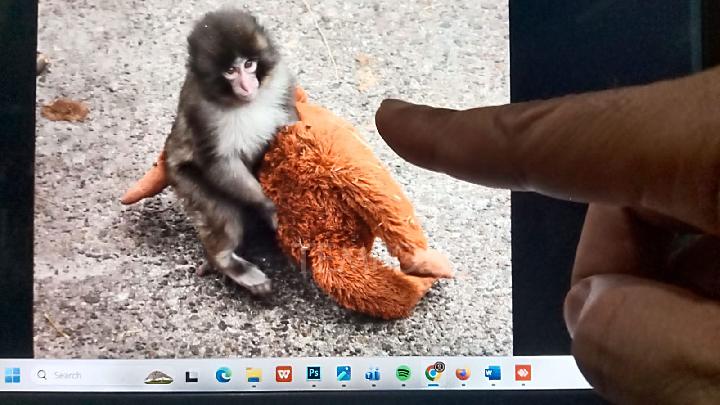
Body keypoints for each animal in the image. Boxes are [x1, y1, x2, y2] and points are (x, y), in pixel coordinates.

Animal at [163, 9, 296, 296]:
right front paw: (269, 207)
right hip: (183, 180)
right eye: (230, 71)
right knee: (222, 215)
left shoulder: (281, 81)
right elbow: (219, 163)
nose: (247, 86)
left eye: (249, 65)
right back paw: (226, 262)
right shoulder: (201, 111)